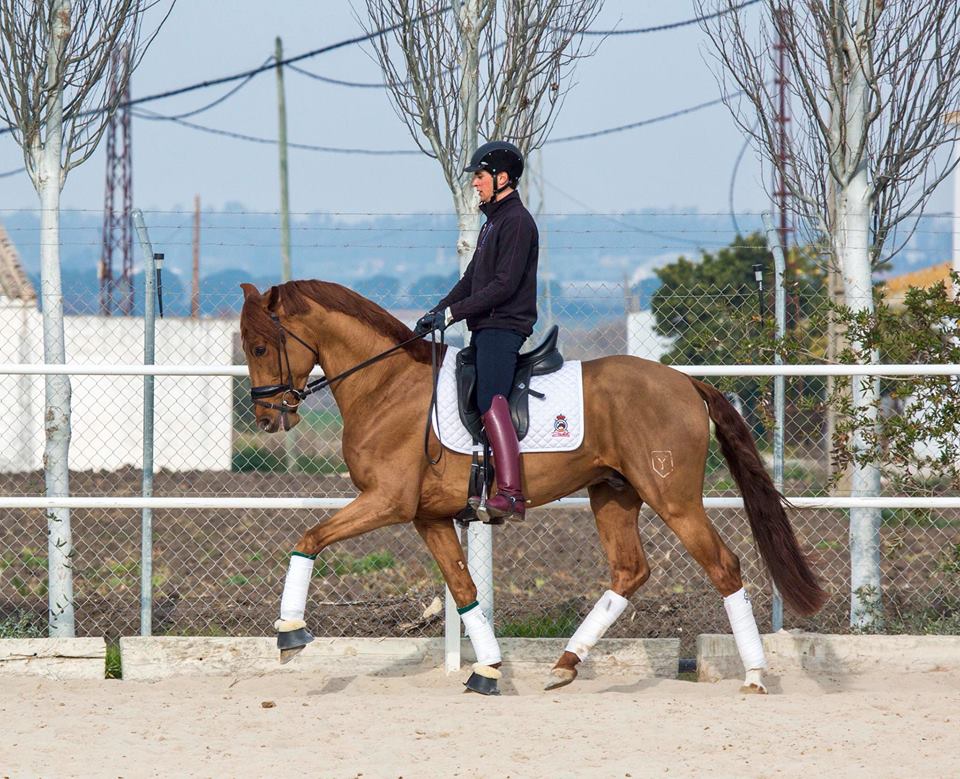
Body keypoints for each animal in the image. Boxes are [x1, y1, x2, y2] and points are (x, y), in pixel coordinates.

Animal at [238, 280, 824, 696]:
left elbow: (310, 538)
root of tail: (685, 381)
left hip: (673, 499)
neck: (387, 386)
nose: (267, 419)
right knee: (630, 570)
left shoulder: (387, 502)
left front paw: (290, 633)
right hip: (614, 494)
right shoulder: (428, 516)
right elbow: (465, 591)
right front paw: (489, 670)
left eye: (262, 347)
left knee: (723, 566)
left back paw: (754, 675)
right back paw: (565, 664)